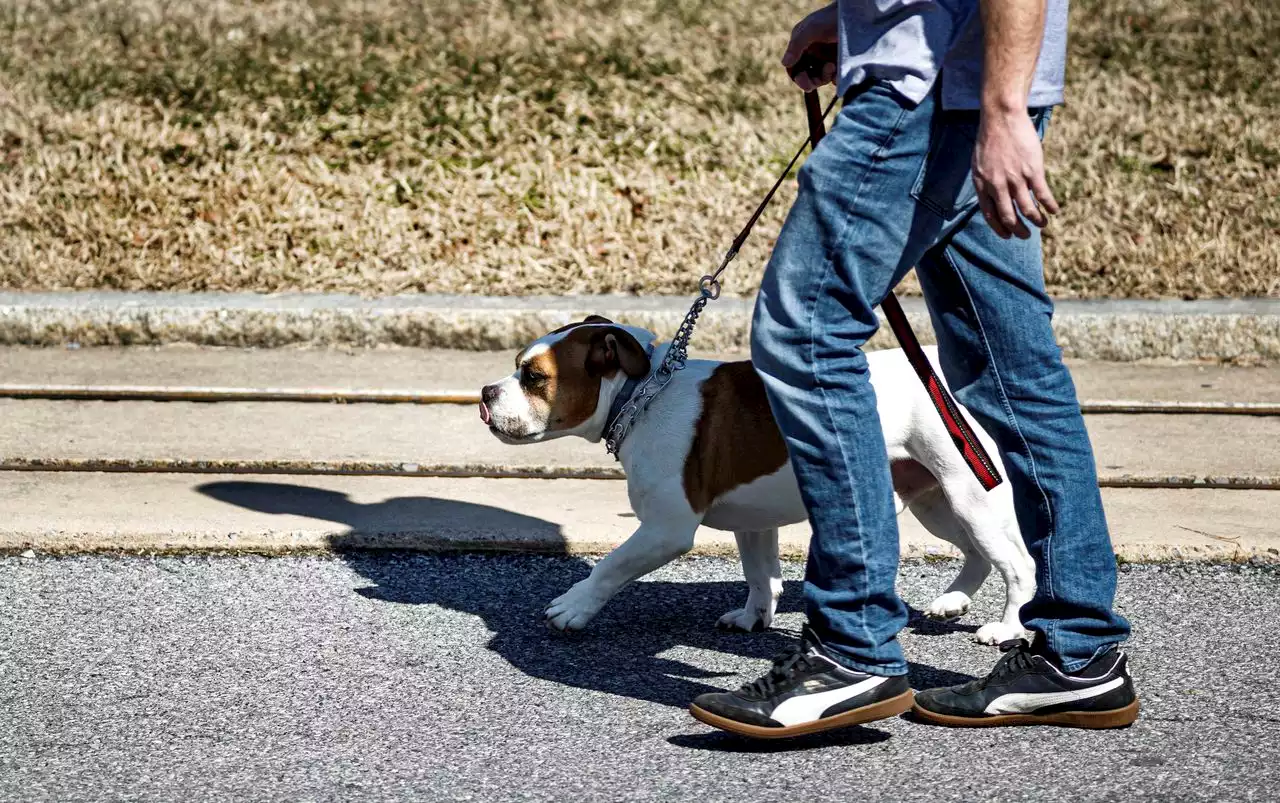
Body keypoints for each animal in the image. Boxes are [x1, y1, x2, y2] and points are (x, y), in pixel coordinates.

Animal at [481, 317, 1039, 642]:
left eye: (534, 378)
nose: (485, 392)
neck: (640, 394)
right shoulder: (752, 522)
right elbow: (759, 575)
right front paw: (754, 617)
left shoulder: (664, 530)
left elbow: (611, 566)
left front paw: (574, 607)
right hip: (935, 500)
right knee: (976, 553)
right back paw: (953, 600)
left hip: (969, 493)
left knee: (1017, 563)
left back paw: (1008, 627)